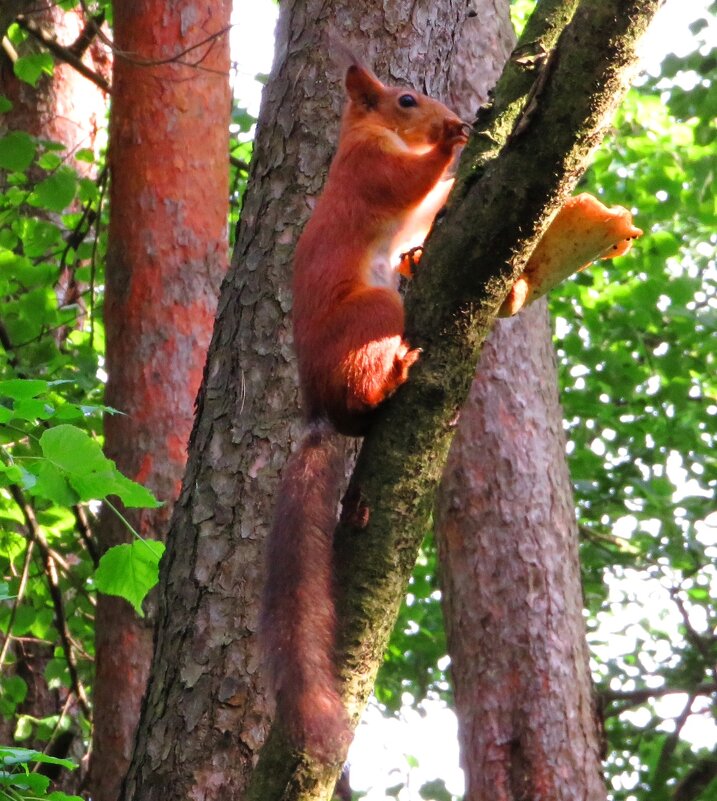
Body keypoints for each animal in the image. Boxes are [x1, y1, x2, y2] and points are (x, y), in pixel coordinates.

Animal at [260, 59, 468, 760]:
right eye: (405, 99)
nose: (447, 114)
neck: (365, 131)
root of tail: (320, 408)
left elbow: (428, 207)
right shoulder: (368, 169)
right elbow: (408, 185)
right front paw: (454, 143)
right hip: (376, 312)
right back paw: (396, 374)